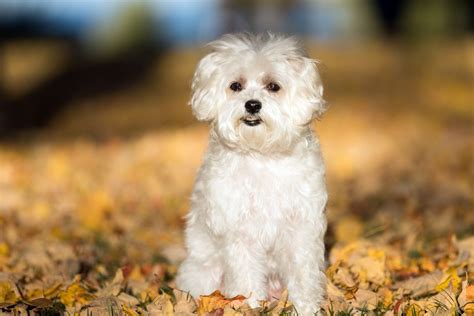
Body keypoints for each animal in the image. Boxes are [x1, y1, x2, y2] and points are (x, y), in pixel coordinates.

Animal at [176, 32, 328, 314]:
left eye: (273, 86)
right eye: (236, 86)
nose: (253, 105)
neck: (262, 154)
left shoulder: (301, 228)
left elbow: (303, 274)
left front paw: (306, 307)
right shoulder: (240, 233)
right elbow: (246, 277)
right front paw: (251, 306)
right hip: (204, 272)